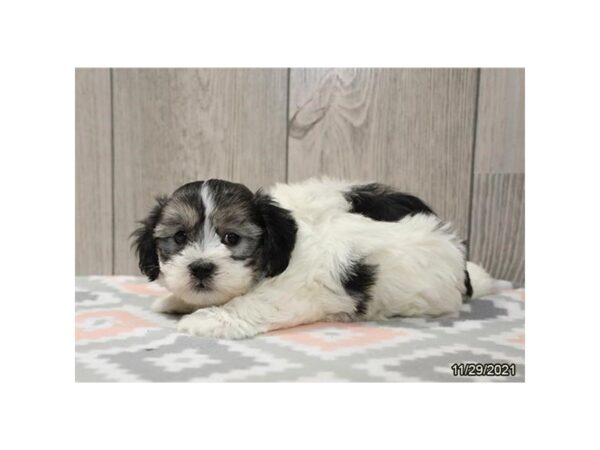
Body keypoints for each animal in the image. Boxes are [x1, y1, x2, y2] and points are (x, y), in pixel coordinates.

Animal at [134, 178, 494, 340]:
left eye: (231, 238)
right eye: (180, 237)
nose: (200, 267)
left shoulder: (296, 287)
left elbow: (255, 303)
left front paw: (209, 318)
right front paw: (177, 299)